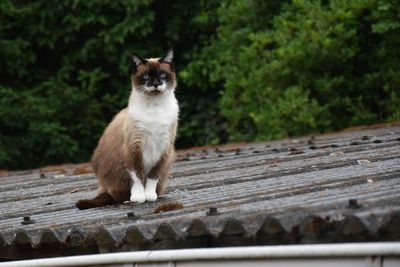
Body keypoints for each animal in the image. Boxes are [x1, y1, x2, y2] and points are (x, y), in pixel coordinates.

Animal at [76, 49, 179, 210]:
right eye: (146, 76)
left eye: (162, 75)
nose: (156, 84)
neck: (155, 107)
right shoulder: (134, 148)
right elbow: (137, 177)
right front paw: (139, 197)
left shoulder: (165, 148)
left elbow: (152, 176)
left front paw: (150, 196)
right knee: (116, 195)